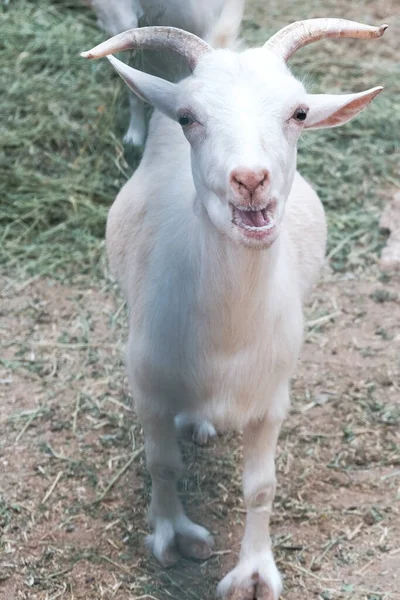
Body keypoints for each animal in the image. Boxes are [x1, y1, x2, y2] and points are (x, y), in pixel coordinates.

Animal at [82, 18, 388, 600]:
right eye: (188, 117)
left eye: (299, 113)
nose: (249, 180)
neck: (225, 336)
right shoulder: (147, 383)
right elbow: (162, 464)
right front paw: (172, 538)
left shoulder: (271, 397)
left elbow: (261, 487)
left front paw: (254, 574)